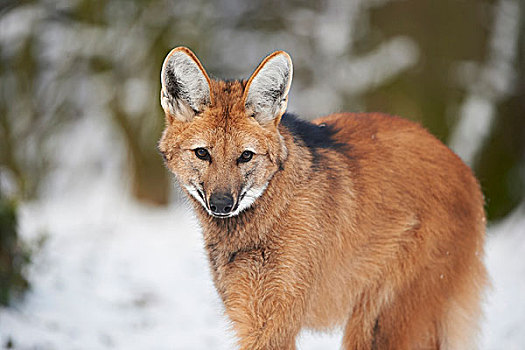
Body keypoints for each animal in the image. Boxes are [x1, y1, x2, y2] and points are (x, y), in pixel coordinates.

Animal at [157, 47, 488, 350]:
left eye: (245, 156)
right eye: (202, 153)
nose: (222, 204)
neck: (267, 217)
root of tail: (463, 168)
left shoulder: (274, 319)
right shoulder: (248, 312)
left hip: (383, 318)